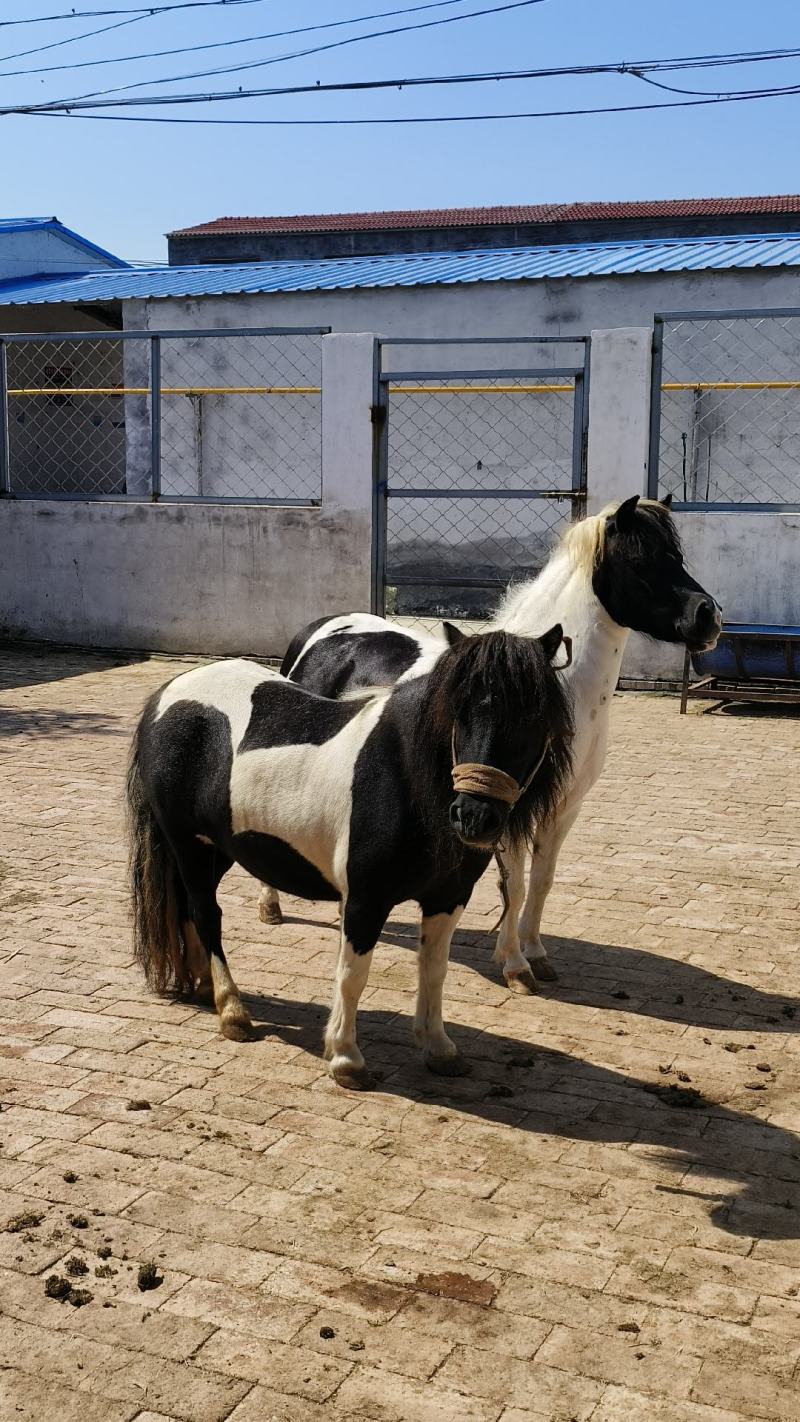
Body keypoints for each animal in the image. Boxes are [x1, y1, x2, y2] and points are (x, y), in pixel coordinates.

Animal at [126, 626, 573, 1089]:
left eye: (534, 718)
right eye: (457, 711)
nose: (474, 817)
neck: (406, 775)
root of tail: (166, 695)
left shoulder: (448, 899)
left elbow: (434, 969)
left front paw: (438, 1047)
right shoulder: (364, 900)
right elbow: (352, 976)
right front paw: (345, 1058)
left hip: (216, 849)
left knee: (187, 909)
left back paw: (203, 987)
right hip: (187, 843)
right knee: (205, 912)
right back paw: (232, 1011)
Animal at [269, 495, 722, 992]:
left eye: (676, 554)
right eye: (642, 558)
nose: (708, 617)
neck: (556, 689)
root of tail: (323, 630)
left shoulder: (564, 806)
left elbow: (542, 881)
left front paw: (536, 953)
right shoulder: (504, 805)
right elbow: (515, 886)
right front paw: (514, 965)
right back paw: (272, 907)